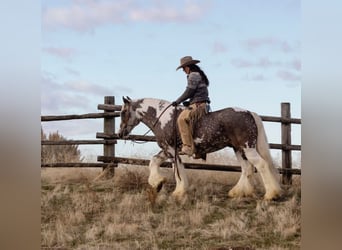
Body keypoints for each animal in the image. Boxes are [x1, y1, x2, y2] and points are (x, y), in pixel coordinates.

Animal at [117, 96, 280, 200]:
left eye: (123, 112)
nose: (120, 133)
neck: (163, 119)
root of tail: (250, 113)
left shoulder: (170, 149)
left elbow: (177, 169)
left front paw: (179, 191)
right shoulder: (166, 149)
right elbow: (154, 161)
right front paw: (157, 182)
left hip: (247, 148)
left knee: (261, 165)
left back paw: (271, 194)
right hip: (238, 149)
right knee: (247, 168)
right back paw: (237, 192)